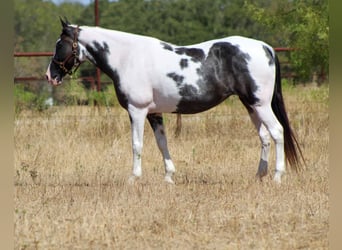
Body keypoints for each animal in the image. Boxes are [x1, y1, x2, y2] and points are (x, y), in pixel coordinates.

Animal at [44, 18, 302, 184]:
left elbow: (137, 145)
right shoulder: (153, 113)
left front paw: (133, 178)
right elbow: (162, 143)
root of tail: (266, 48)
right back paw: (259, 175)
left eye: (60, 44)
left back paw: (277, 176)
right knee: (264, 137)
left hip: (260, 105)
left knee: (277, 132)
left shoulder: (137, 111)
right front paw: (169, 177)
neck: (127, 57)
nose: (50, 76)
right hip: (250, 105)